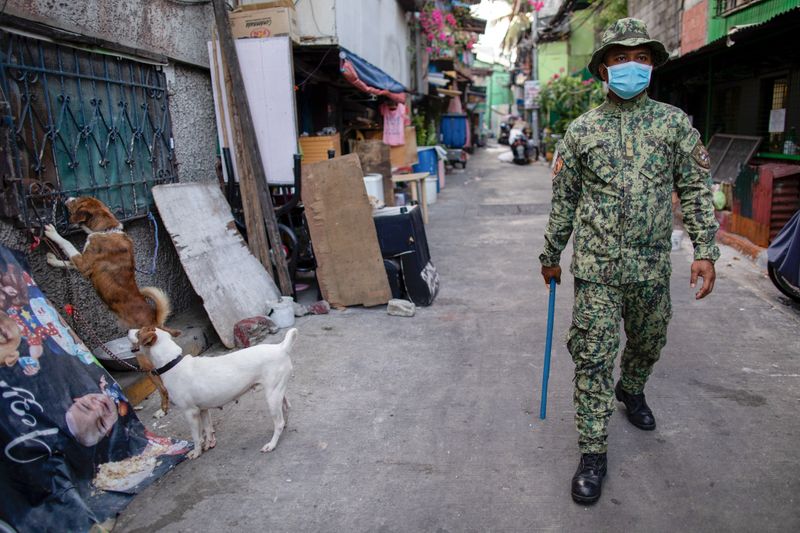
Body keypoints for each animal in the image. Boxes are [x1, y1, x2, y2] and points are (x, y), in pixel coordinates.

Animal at [44, 197, 180, 414]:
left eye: (77, 202)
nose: (66, 198)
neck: (107, 229)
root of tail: (155, 321)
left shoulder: (84, 264)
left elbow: (67, 244)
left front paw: (52, 232)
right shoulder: (80, 263)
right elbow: (65, 260)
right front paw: (52, 259)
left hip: (146, 364)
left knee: (162, 386)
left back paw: (163, 409)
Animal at [129, 324, 296, 458]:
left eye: (138, 332)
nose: (128, 330)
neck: (172, 363)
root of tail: (281, 347)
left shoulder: (190, 412)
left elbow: (196, 437)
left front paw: (196, 452)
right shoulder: (203, 409)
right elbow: (208, 429)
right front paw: (209, 444)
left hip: (272, 396)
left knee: (278, 422)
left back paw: (272, 444)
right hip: (277, 391)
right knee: (286, 408)